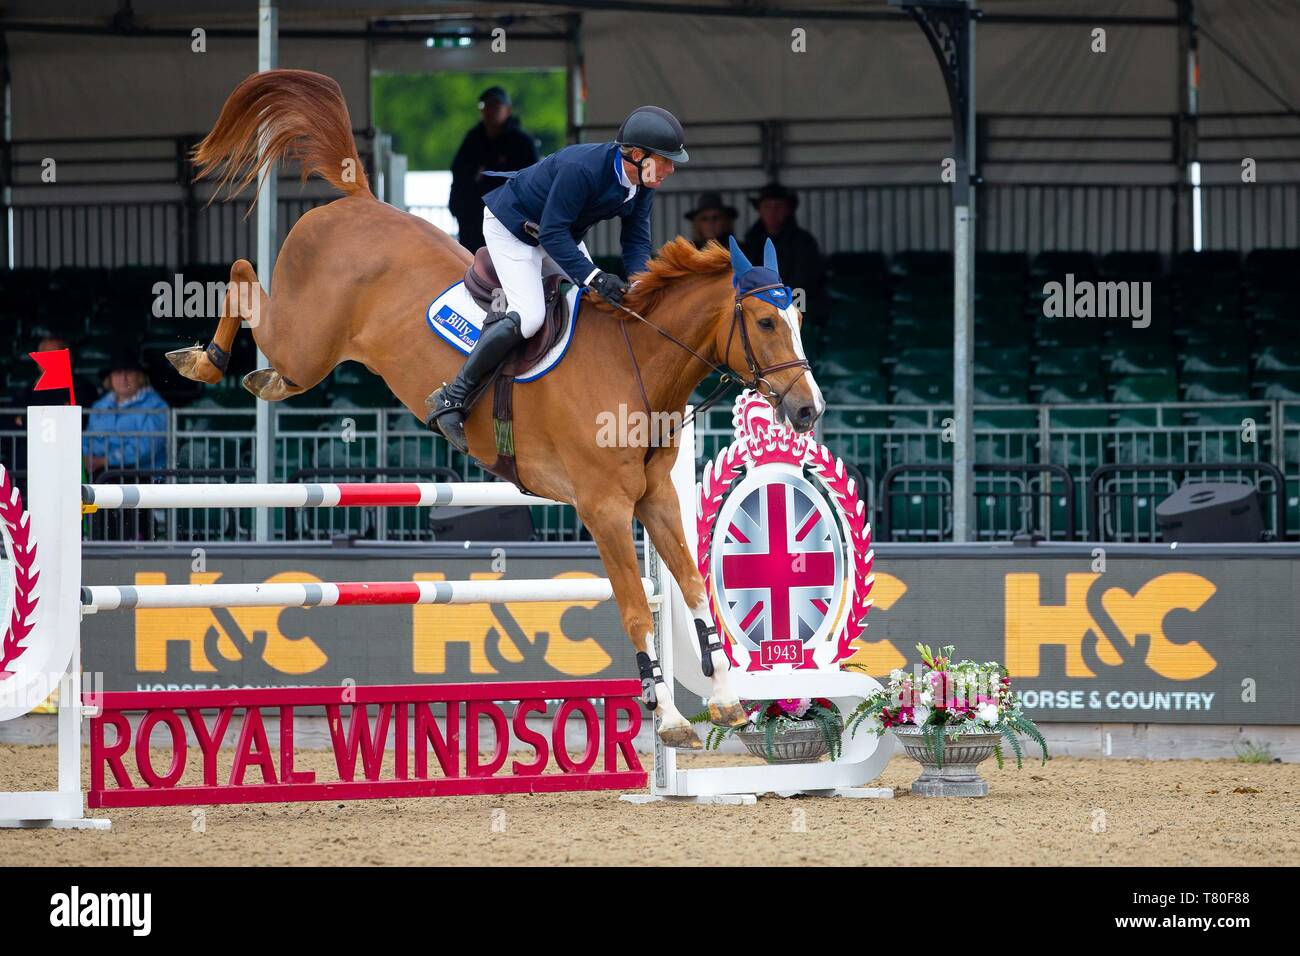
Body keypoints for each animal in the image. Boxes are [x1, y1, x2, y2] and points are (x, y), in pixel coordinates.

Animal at [166, 69, 826, 750]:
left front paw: (726, 702)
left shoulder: (656, 499)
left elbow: (695, 590)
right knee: (243, 277)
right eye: (766, 322)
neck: (637, 363)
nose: (808, 410)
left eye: (799, 320)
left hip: (306, 353)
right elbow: (635, 609)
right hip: (306, 345)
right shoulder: (604, 509)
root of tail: (356, 200)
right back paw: (204, 361)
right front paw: (667, 717)